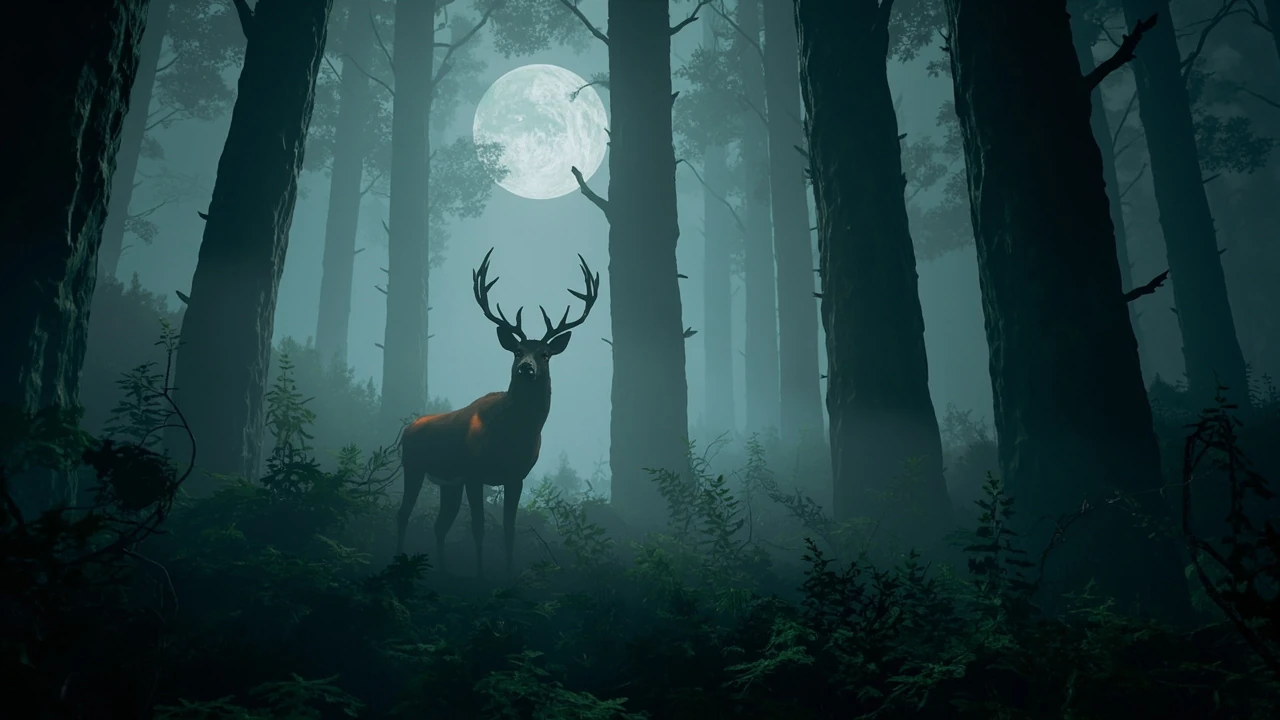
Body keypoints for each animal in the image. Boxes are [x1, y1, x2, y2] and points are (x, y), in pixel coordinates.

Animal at [394, 248, 600, 576]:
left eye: (545, 354)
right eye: (517, 351)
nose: (526, 367)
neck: (513, 435)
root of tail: (408, 428)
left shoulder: (516, 476)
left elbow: (509, 529)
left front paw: (509, 573)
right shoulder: (474, 472)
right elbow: (478, 528)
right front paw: (480, 575)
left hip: (449, 483)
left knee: (440, 525)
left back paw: (442, 570)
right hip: (413, 466)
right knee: (403, 514)